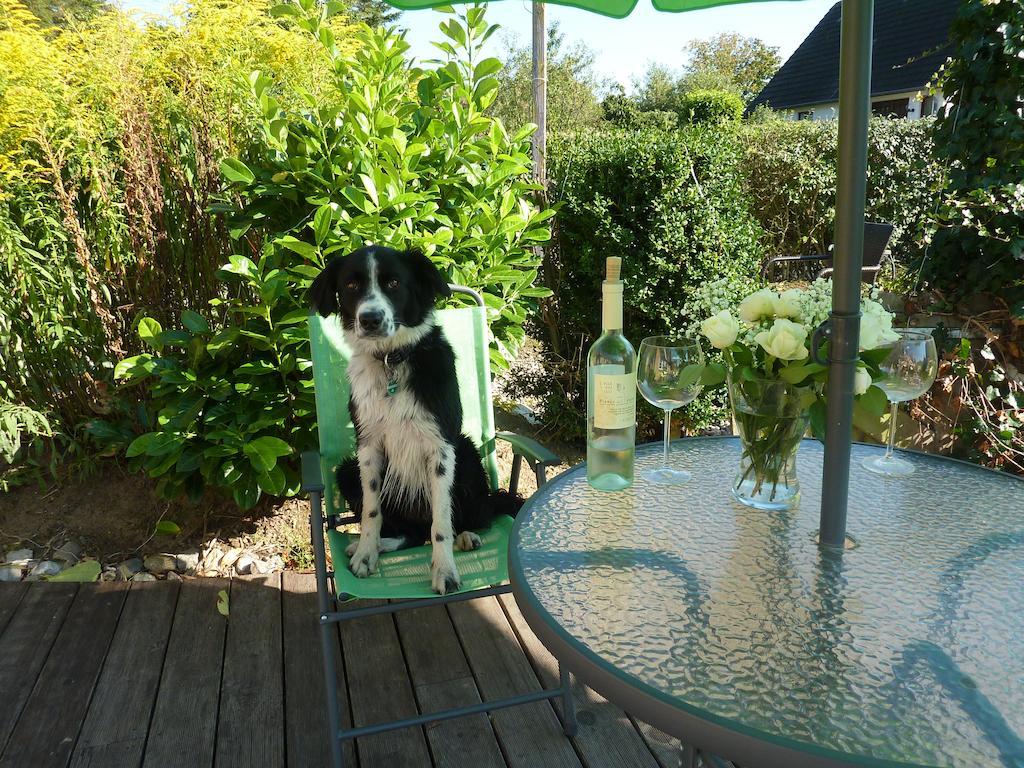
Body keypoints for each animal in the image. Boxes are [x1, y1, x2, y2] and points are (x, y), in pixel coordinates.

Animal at [309, 246, 520, 593]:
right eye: (351, 285)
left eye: (394, 282)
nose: (370, 319)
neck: (391, 361)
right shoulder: (367, 446)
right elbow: (371, 511)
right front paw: (366, 553)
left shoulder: (441, 447)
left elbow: (441, 520)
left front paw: (444, 570)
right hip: (347, 470)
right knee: (411, 533)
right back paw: (374, 545)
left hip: (467, 454)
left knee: (475, 517)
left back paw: (468, 536)